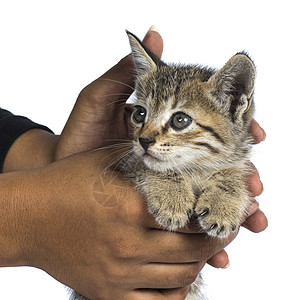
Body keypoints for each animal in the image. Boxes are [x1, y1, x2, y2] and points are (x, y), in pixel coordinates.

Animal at [69, 30, 255, 300]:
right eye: (140, 114)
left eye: (180, 120)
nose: (144, 140)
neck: (195, 167)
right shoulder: (129, 160)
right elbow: (150, 166)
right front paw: (172, 199)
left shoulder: (236, 157)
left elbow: (231, 173)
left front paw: (223, 205)